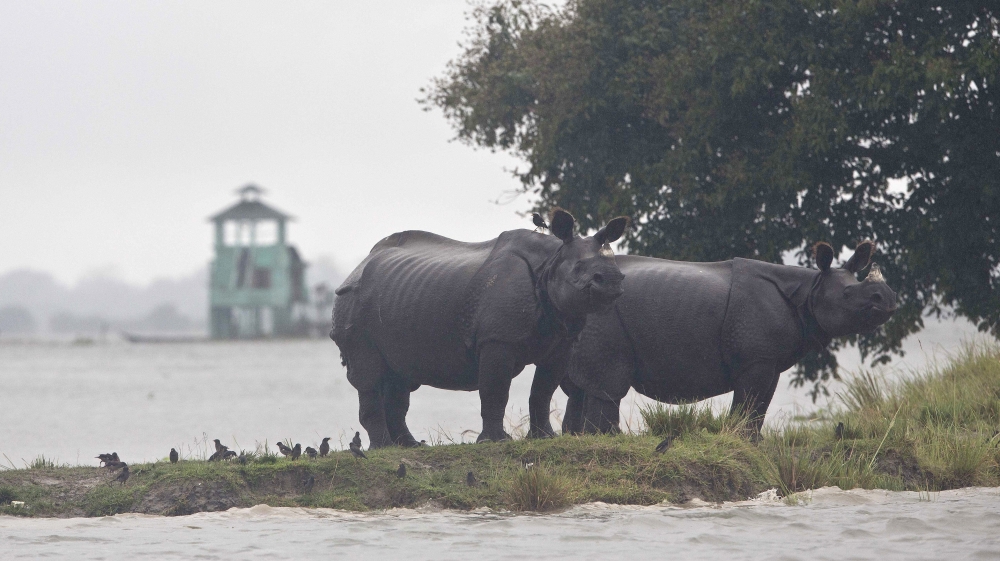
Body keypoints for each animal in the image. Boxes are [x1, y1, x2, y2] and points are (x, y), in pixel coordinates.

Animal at [331, 210, 628, 447]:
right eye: (579, 268)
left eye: (614, 265)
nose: (613, 280)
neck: (551, 261)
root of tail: (355, 269)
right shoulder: (497, 340)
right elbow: (495, 390)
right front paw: (496, 441)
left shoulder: (561, 340)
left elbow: (543, 391)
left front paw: (544, 437)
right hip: (353, 304)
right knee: (369, 375)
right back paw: (384, 448)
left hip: (399, 295)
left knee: (399, 377)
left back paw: (409, 446)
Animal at [560, 240, 897, 435]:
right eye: (848, 294)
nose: (888, 298)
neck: (809, 288)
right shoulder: (755, 357)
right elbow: (749, 403)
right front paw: (742, 441)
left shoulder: (768, 359)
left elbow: (760, 404)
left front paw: (752, 441)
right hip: (602, 312)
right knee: (607, 384)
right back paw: (607, 440)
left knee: (579, 387)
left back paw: (577, 439)